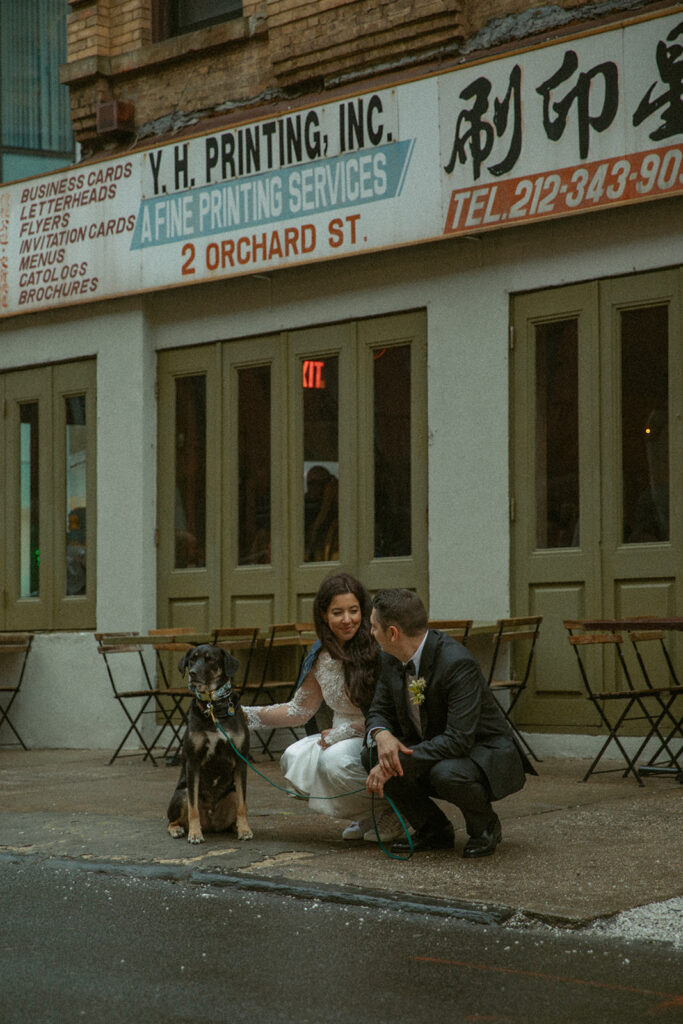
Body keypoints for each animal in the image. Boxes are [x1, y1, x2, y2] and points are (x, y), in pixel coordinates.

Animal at [165, 638, 253, 847]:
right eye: (191, 660)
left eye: (209, 659)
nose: (192, 673)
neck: (213, 706)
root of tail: (212, 824)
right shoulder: (193, 762)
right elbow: (193, 808)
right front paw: (195, 834)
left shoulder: (241, 760)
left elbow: (243, 804)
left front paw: (245, 829)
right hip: (181, 793)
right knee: (173, 819)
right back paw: (179, 829)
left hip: (232, 793)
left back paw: (235, 827)